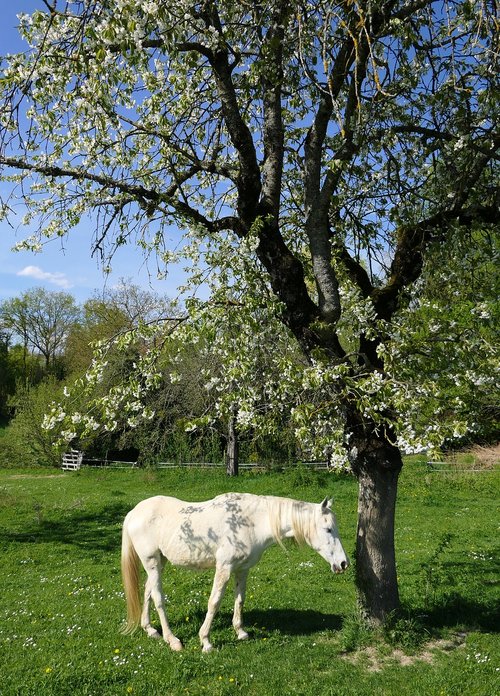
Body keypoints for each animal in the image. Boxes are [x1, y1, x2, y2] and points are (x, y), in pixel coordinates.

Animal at [120, 492, 348, 648]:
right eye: (328, 529)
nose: (344, 563)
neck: (252, 522)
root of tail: (133, 513)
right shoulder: (224, 568)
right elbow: (214, 602)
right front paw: (206, 641)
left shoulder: (242, 569)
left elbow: (240, 599)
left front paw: (241, 632)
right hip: (151, 561)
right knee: (158, 597)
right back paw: (172, 640)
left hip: (159, 561)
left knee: (148, 591)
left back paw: (150, 630)